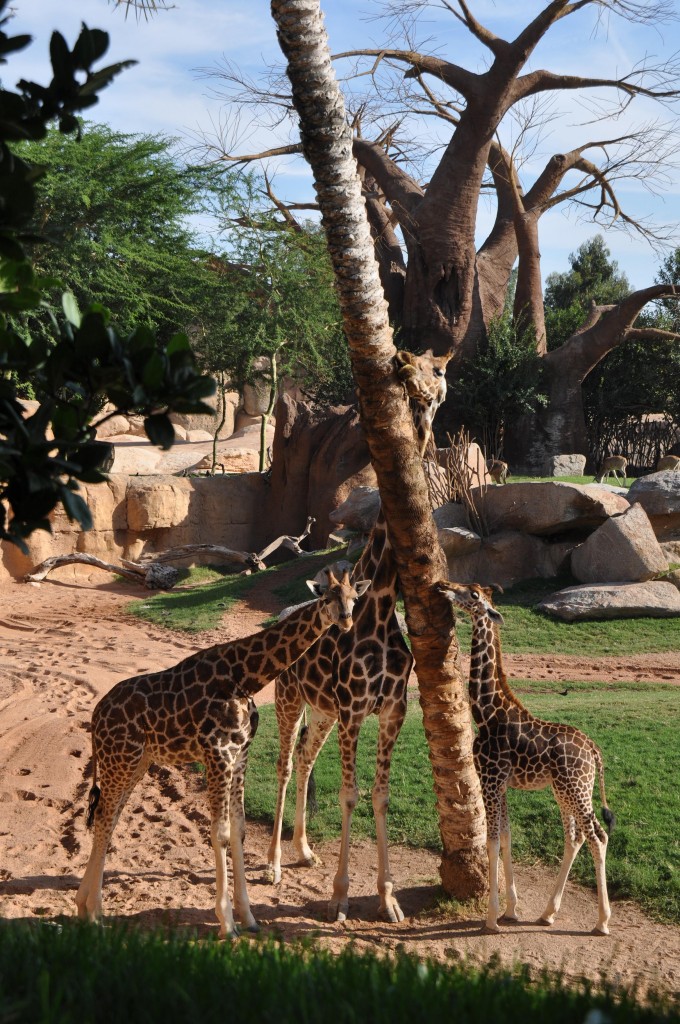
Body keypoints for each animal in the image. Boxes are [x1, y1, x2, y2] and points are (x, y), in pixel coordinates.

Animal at [76, 569, 368, 937]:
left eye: (354, 598)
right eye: (327, 597)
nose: (345, 621)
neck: (245, 676)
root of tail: (96, 717)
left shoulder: (239, 757)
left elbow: (239, 830)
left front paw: (249, 917)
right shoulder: (217, 756)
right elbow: (220, 833)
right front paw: (227, 922)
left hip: (135, 762)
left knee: (109, 817)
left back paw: (83, 907)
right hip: (120, 759)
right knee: (104, 818)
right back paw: (94, 912)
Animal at [436, 577, 614, 937]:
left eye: (472, 594)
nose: (444, 585)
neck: (486, 712)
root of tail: (594, 751)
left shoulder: (490, 781)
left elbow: (491, 841)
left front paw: (491, 918)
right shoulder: (500, 784)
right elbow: (506, 837)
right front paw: (512, 909)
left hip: (576, 789)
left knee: (598, 836)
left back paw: (602, 922)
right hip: (565, 790)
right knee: (574, 837)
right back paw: (548, 913)